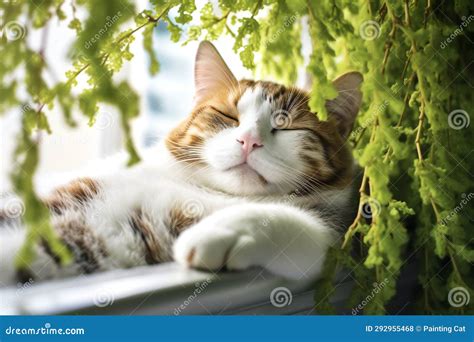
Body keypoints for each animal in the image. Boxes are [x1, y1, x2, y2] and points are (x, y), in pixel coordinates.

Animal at [0, 40, 362, 286]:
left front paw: (220, 232)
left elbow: (299, 230)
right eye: (228, 116)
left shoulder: (333, 234)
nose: (249, 141)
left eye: (286, 126)